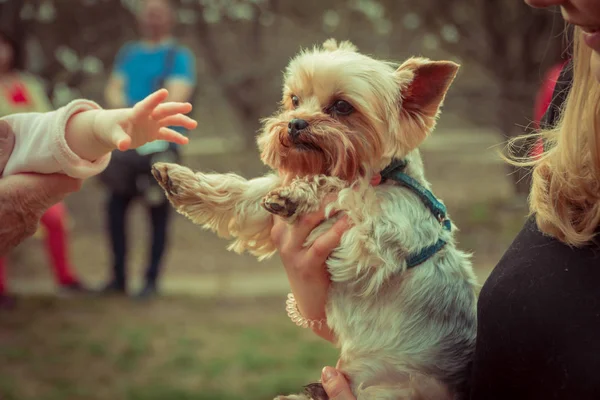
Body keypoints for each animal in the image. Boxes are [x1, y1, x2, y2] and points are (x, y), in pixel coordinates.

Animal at [151, 38, 478, 400]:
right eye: (295, 100)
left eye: (342, 106)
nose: (295, 123)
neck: (382, 176)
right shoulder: (265, 213)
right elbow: (249, 194)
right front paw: (181, 181)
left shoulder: (376, 240)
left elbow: (343, 193)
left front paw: (300, 194)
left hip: (397, 390)